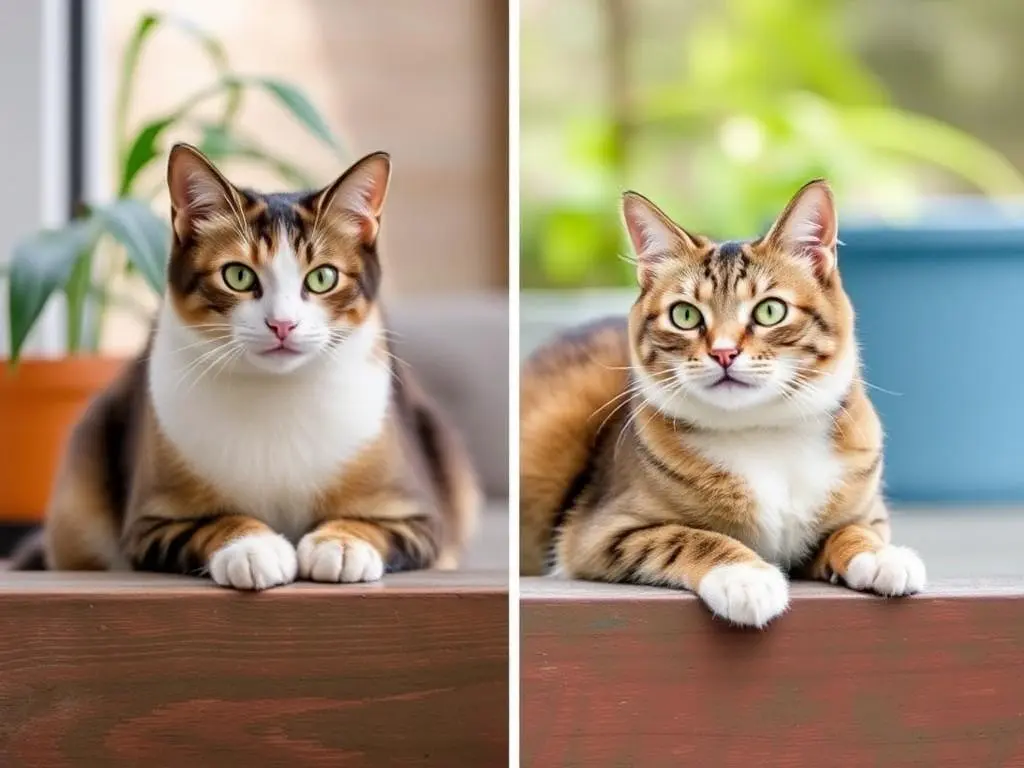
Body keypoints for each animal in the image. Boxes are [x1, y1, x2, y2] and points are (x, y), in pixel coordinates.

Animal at [14, 143, 479, 589]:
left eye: (322, 278)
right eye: (237, 275)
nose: (282, 324)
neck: (276, 394)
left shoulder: (420, 515)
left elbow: (376, 525)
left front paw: (342, 544)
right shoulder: (150, 520)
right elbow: (212, 522)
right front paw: (253, 547)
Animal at [520, 182, 929, 630]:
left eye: (770, 310)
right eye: (684, 315)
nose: (723, 352)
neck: (764, 434)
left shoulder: (863, 510)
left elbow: (853, 529)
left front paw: (880, 555)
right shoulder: (599, 531)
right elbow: (687, 537)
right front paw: (745, 576)